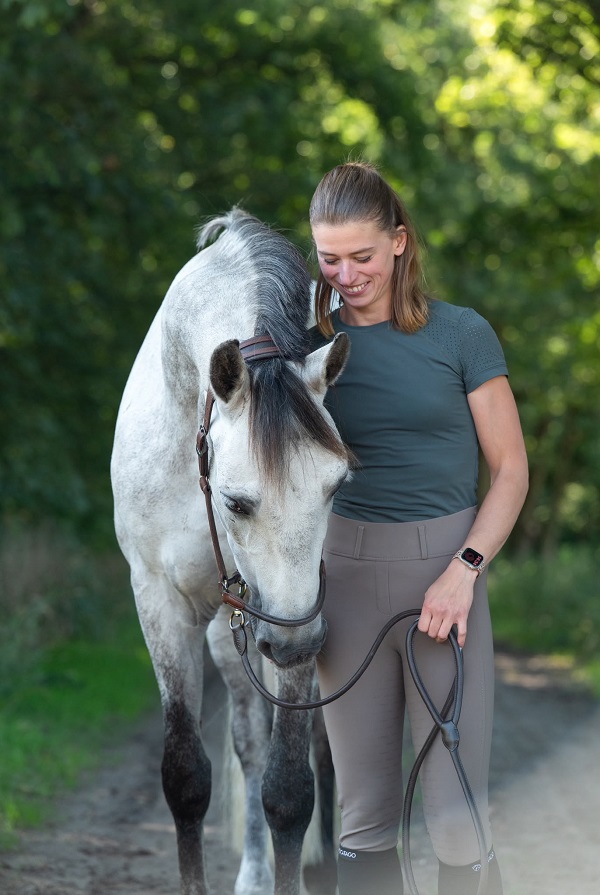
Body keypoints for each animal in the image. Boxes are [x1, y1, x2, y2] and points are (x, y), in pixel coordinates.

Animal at [110, 208, 351, 895]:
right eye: (238, 502)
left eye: (336, 488)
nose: (295, 642)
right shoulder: (161, 603)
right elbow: (187, 779)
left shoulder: (309, 615)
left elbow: (291, 790)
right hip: (232, 632)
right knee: (247, 738)